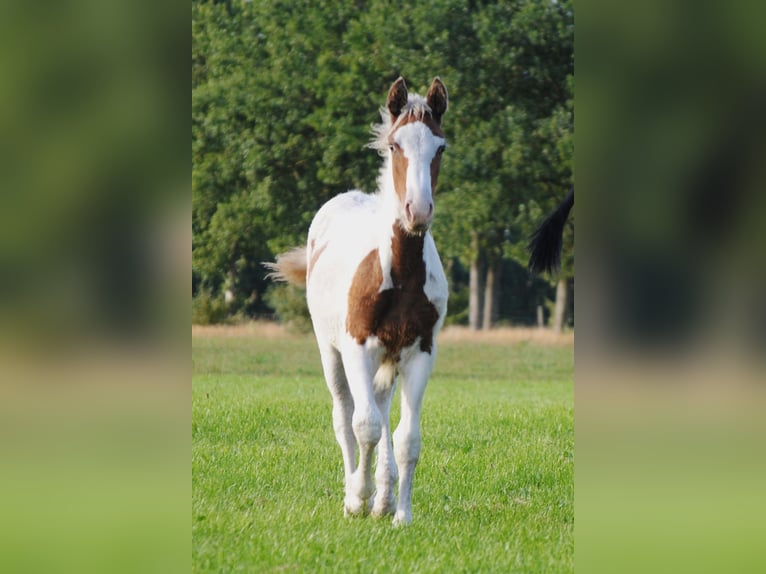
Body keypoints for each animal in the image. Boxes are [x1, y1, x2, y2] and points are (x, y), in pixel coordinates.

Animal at [266, 77, 450, 526]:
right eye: (395, 145)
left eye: (440, 147)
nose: (418, 211)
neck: (400, 272)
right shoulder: (356, 345)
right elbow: (362, 424)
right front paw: (357, 499)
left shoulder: (420, 350)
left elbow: (407, 438)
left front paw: (401, 514)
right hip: (331, 351)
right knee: (344, 414)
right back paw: (357, 492)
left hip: (388, 358)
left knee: (382, 410)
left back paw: (384, 499)